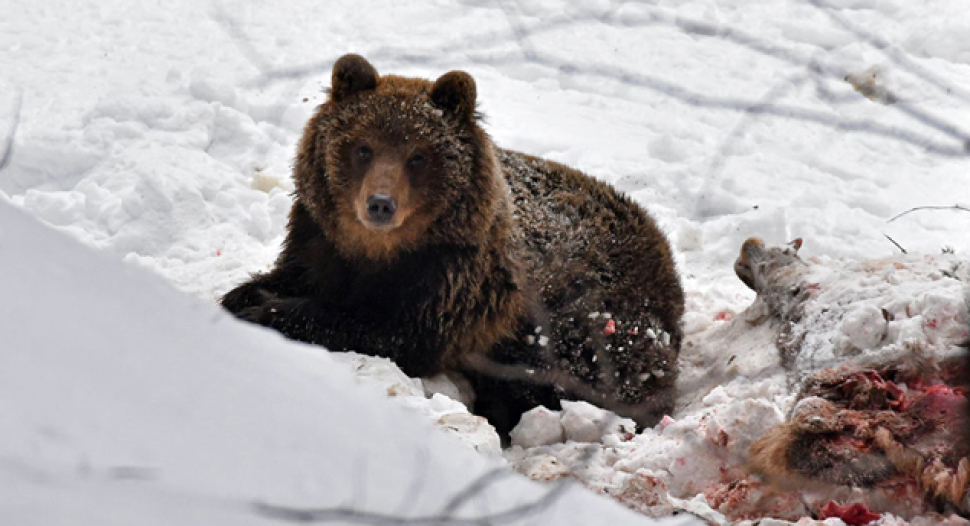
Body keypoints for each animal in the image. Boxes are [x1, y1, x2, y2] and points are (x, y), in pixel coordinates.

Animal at [223, 55, 684, 440]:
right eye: (362, 147)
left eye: (418, 156)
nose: (380, 204)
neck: (380, 252)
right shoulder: (319, 240)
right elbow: (291, 276)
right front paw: (244, 296)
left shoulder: (455, 281)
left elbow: (391, 330)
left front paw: (268, 311)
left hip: (590, 314)